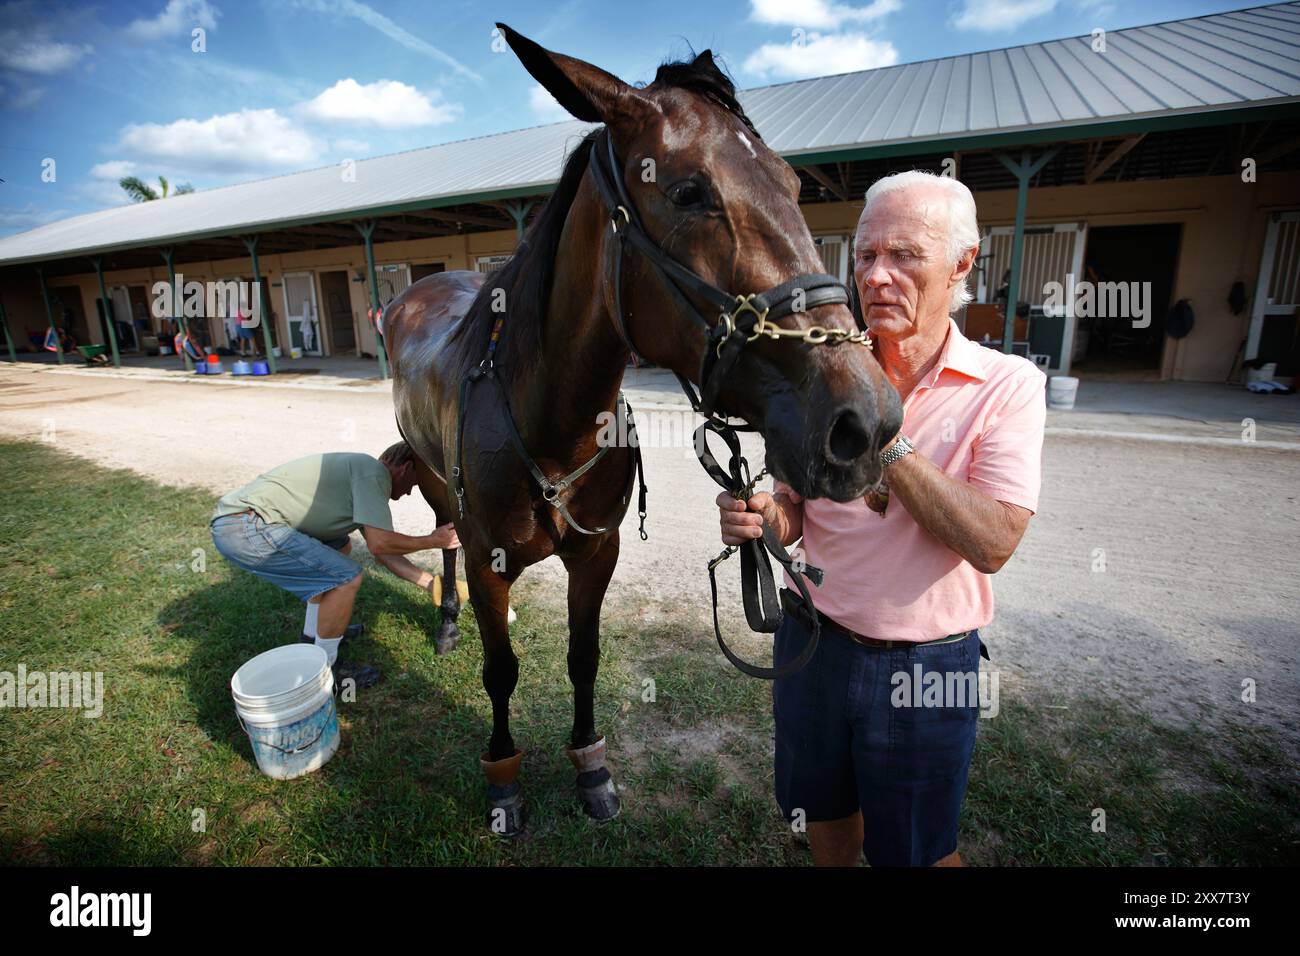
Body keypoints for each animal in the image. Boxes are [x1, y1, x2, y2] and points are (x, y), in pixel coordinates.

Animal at [379, 26, 899, 832]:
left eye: (792, 183)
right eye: (689, 191)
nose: (865, 426)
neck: (551, 425)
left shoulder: (599, 557)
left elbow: (582, 659)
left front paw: (590, 766)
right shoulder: (492, 557)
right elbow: (501, 670)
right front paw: (503, 777)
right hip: (438, 484)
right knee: (444, 540)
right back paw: (446, 621)